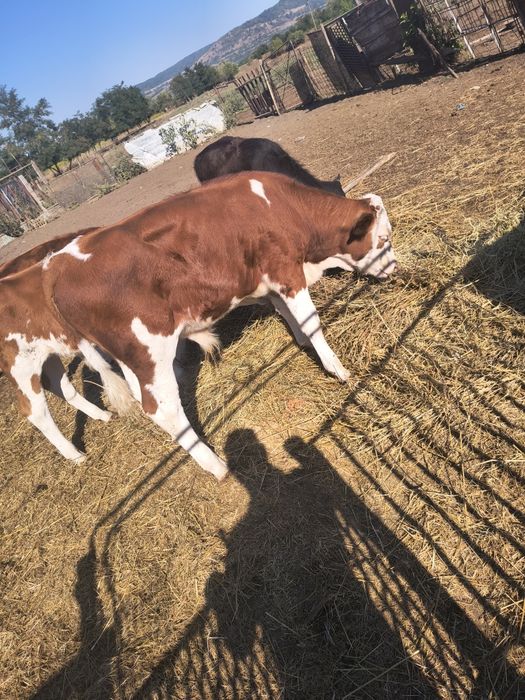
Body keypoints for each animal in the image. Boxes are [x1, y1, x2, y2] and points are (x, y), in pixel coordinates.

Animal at [16, 171, 394, 478]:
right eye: (384, 239)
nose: (394, 269)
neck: (278, 205)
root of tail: (55, 266)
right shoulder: (285, 269)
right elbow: (310, 319)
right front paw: (338, 370)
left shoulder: (266, 280)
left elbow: (286, 312)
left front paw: (301, 341)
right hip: (148, 350)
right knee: (162, 408)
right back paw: (216, 466)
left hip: (131, 360)